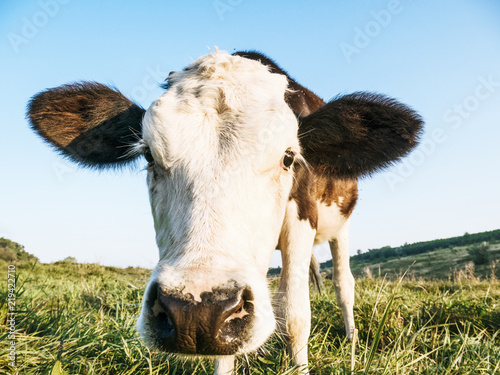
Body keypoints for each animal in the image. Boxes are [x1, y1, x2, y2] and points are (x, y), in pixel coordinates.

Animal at [28, 49, 422, 374]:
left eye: (289, 157)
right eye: (148, 155)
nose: (194, 312)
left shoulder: (302, 219)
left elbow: (296, 314)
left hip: (340, 227)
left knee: (343, 284)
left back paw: (352, 342)